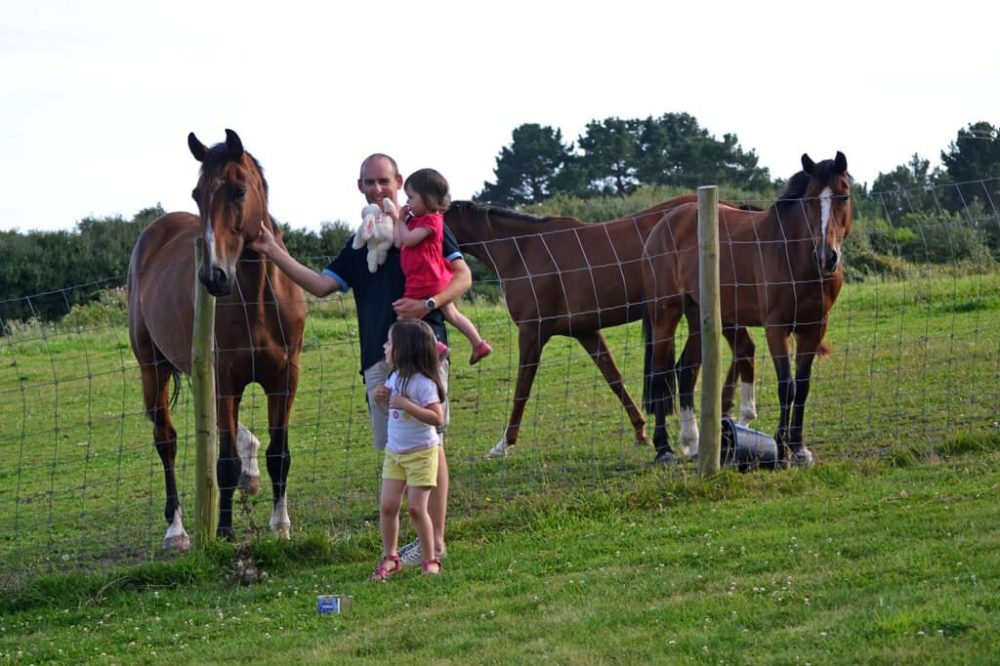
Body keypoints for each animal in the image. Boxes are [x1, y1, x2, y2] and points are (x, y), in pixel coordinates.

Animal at [130, 130, 308, 548]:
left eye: (239, 191)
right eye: (197, 194)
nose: (214, 275)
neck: (257, 299)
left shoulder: (284, 378)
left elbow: (279, 453)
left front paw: (281, 524)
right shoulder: (226, 380)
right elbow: (224, 461)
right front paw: (224, 530)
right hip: (153, 369)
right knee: (166, 440)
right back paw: (176, 530)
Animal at [442, 197, 752, 456]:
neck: (523, 250)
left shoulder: (532, 332)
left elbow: (522, 388)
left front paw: (505, 443)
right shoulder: (586, 332)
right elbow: (613, 377)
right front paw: (640, 431)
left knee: (739, 348)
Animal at [640, 152, 852, 462]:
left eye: (843, 196)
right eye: (810, 200)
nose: (827, 256)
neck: (793, 254)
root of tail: (663, 225)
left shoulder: (814, 328)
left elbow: (802, 386)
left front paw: (799, 448)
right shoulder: (776, 328)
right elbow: (786, 385)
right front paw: (781, 448)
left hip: (699, 317)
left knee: (686, 370)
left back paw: (693, 443)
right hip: (665, 314)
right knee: (659, 375)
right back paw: (664, 449)